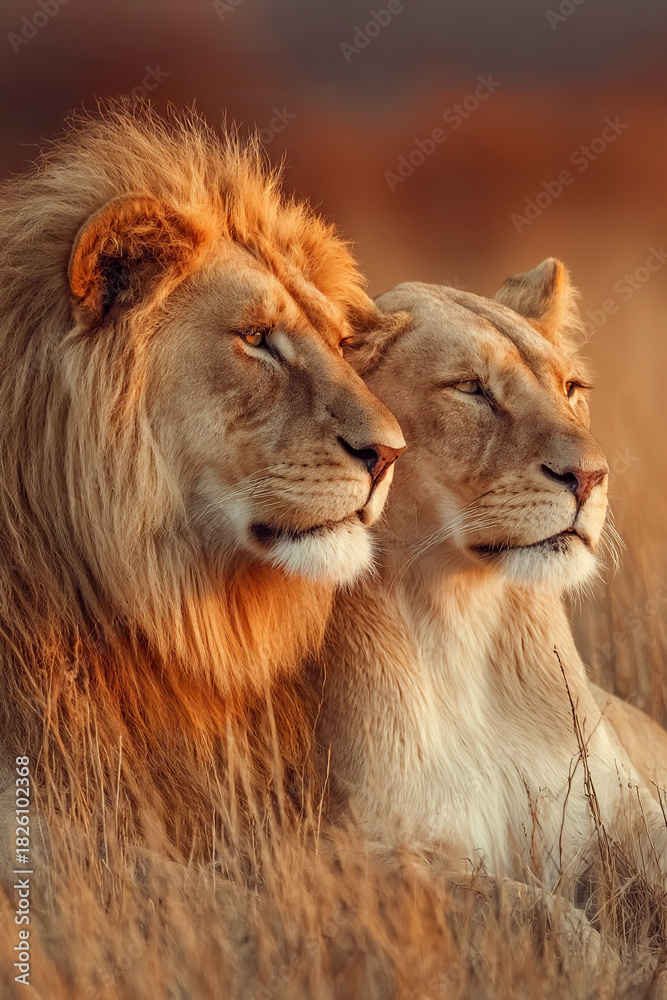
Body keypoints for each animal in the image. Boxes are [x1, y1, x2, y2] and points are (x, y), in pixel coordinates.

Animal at [318, 260, 667, 893]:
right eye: (470, 388)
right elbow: (529, 906)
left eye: (572, 389)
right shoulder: (370, 852)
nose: (591, 476)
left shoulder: (631, 815)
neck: (463, 610)